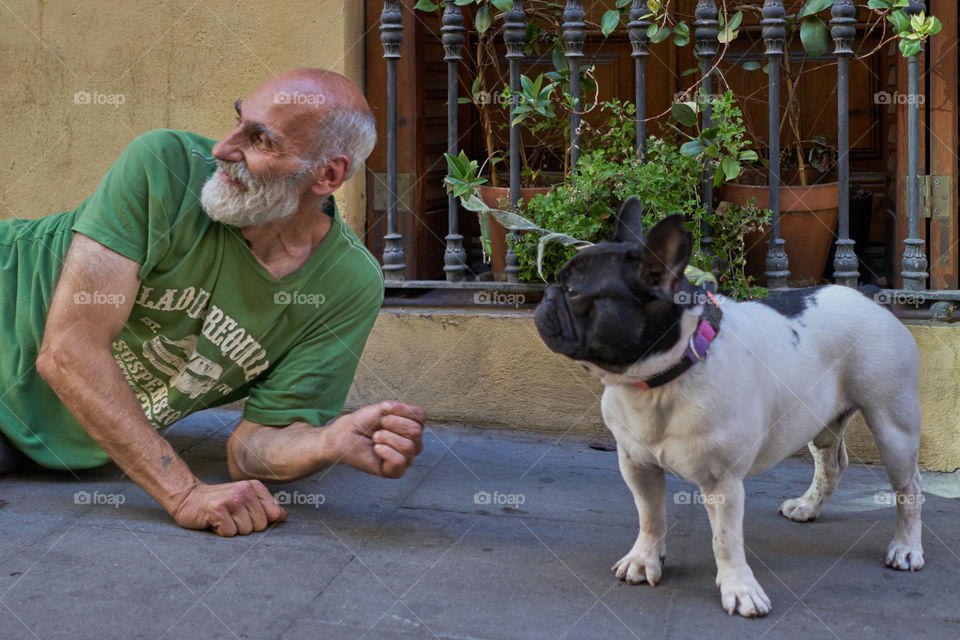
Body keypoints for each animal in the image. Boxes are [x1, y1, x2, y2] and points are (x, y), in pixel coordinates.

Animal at [532, 198, 924, 616]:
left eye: (573, 291)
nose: (547, 293)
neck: (661, 379)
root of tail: (867, 293)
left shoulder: (723, 481)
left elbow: (725, 539)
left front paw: (739, 588)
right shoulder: (637, 464)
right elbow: (650, 516)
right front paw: (644, 559)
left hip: (893, 425)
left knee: (908, 487)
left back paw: (906, 548)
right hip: (819, 419)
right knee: (831, 465)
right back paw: (807, 506)